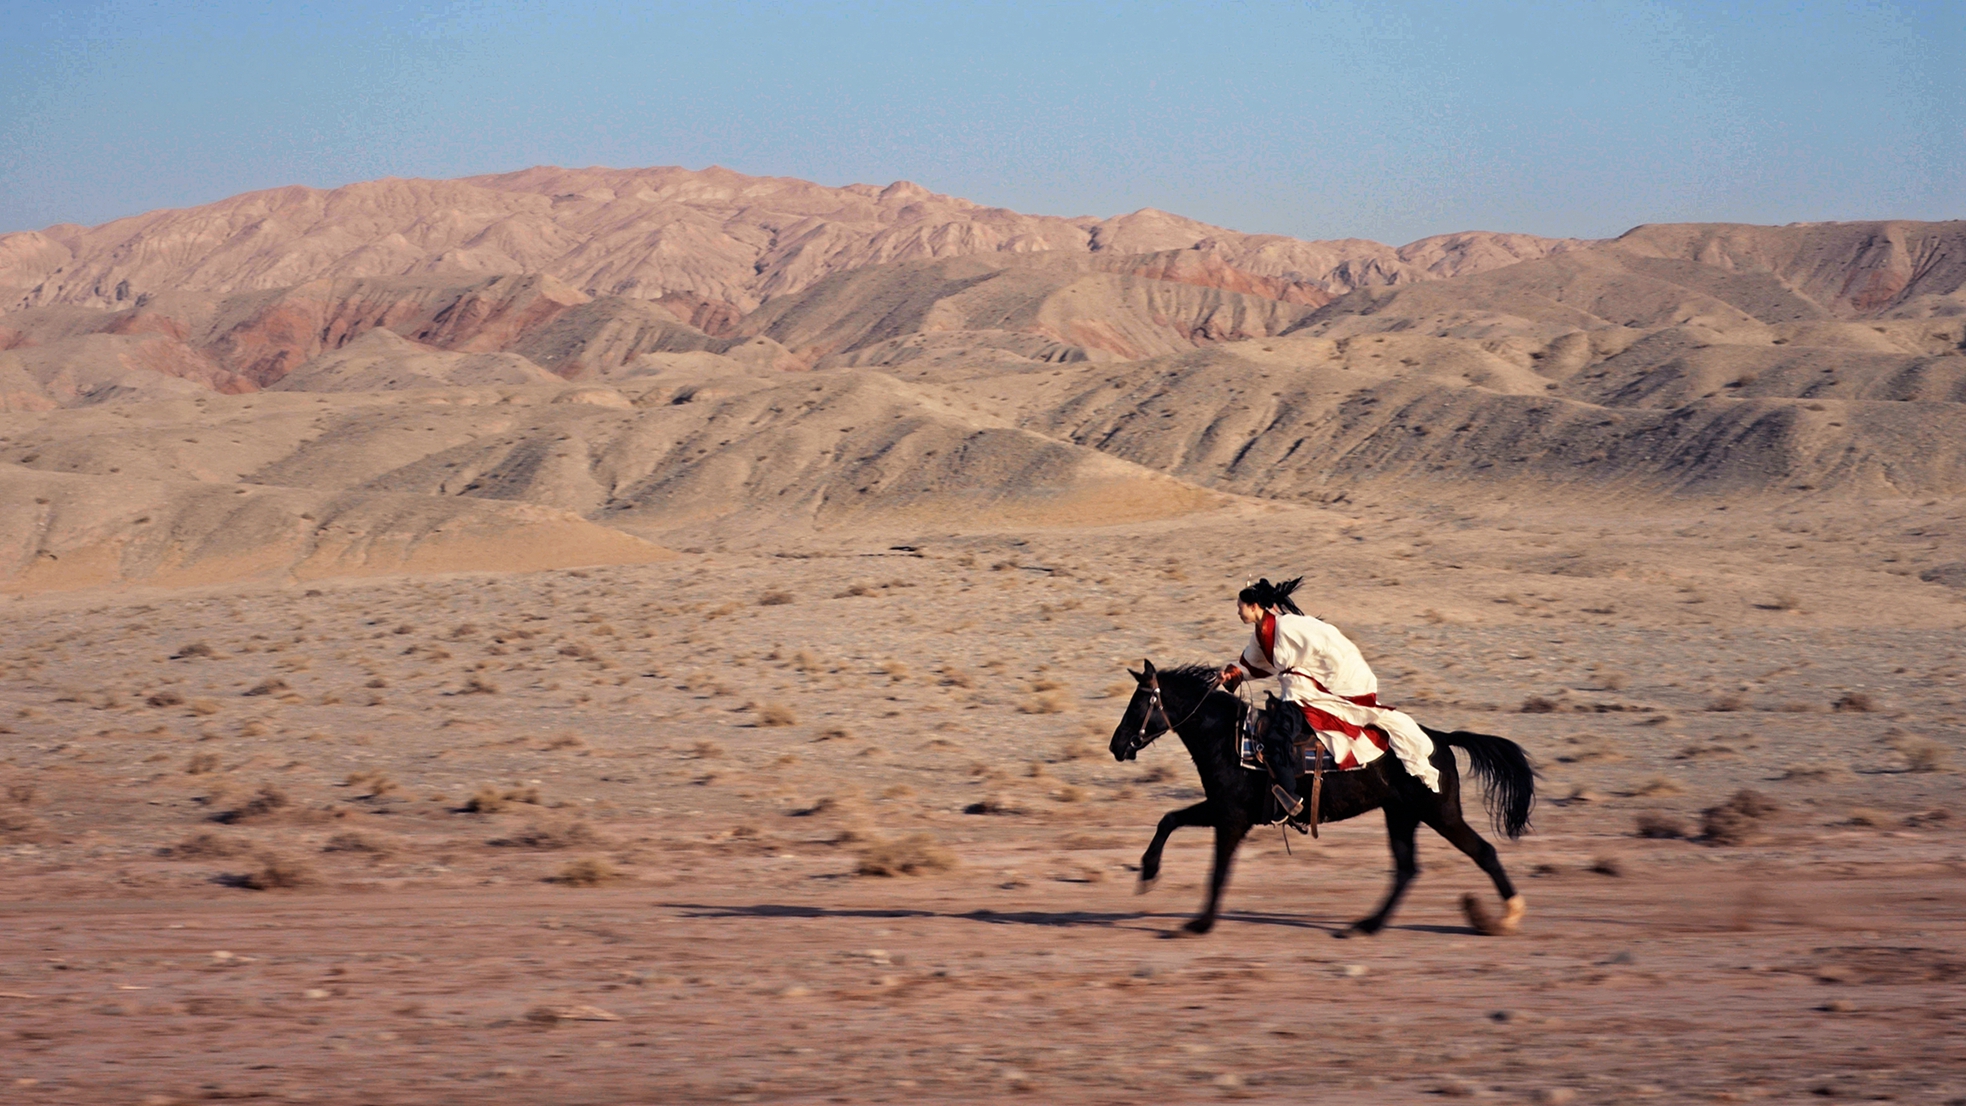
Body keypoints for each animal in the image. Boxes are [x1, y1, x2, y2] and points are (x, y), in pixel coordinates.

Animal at [1108, 663, 1533, 939]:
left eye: (1139, 704)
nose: (1117, 745)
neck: (1228, 739)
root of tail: (1442, 738)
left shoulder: (1230, 817)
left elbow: (1218, 870)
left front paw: (1199, 924)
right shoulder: (1221, 810)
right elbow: (1169, 819)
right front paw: (1147, 872)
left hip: (1440, 812)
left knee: (1483, 853)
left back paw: (1505, 918)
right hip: (1401, 815)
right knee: (1406, 869)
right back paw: (1366, 925)